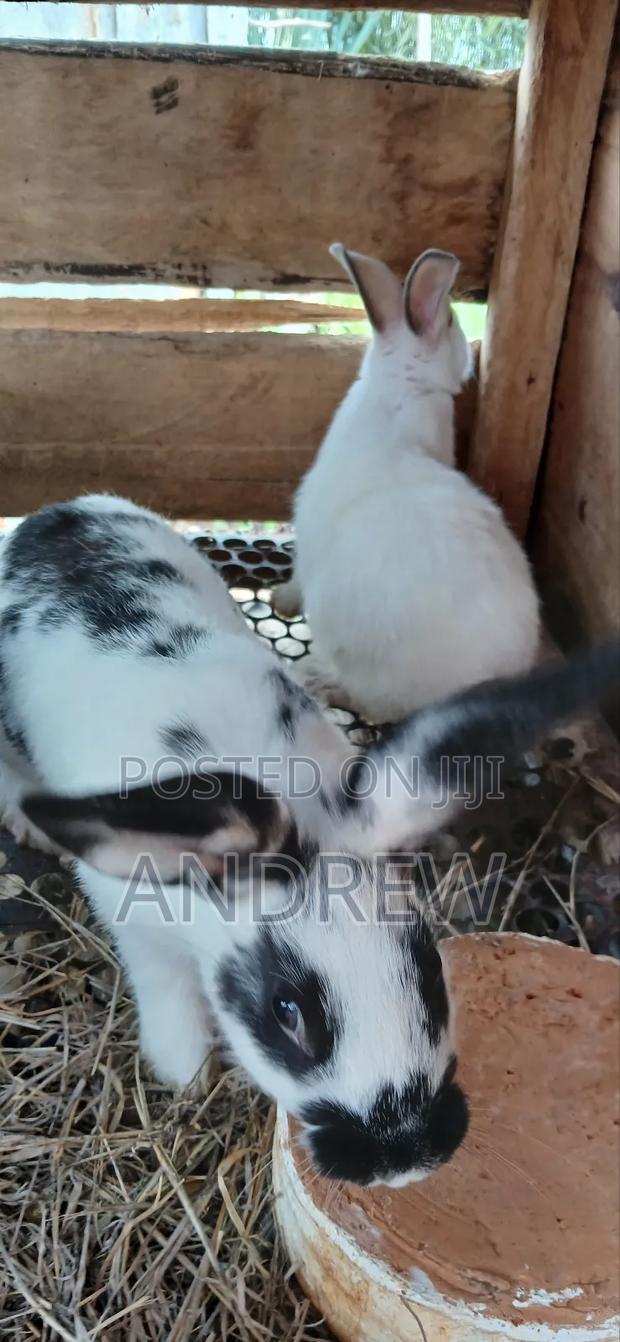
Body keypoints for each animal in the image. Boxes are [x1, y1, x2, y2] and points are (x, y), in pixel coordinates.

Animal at [1, 496, 616, 1186]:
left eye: (429, 966)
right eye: (286, 1012)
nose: (404, 1161)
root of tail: (59, 512)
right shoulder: (137, 924)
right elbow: (169, 994)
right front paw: (185, 1076)